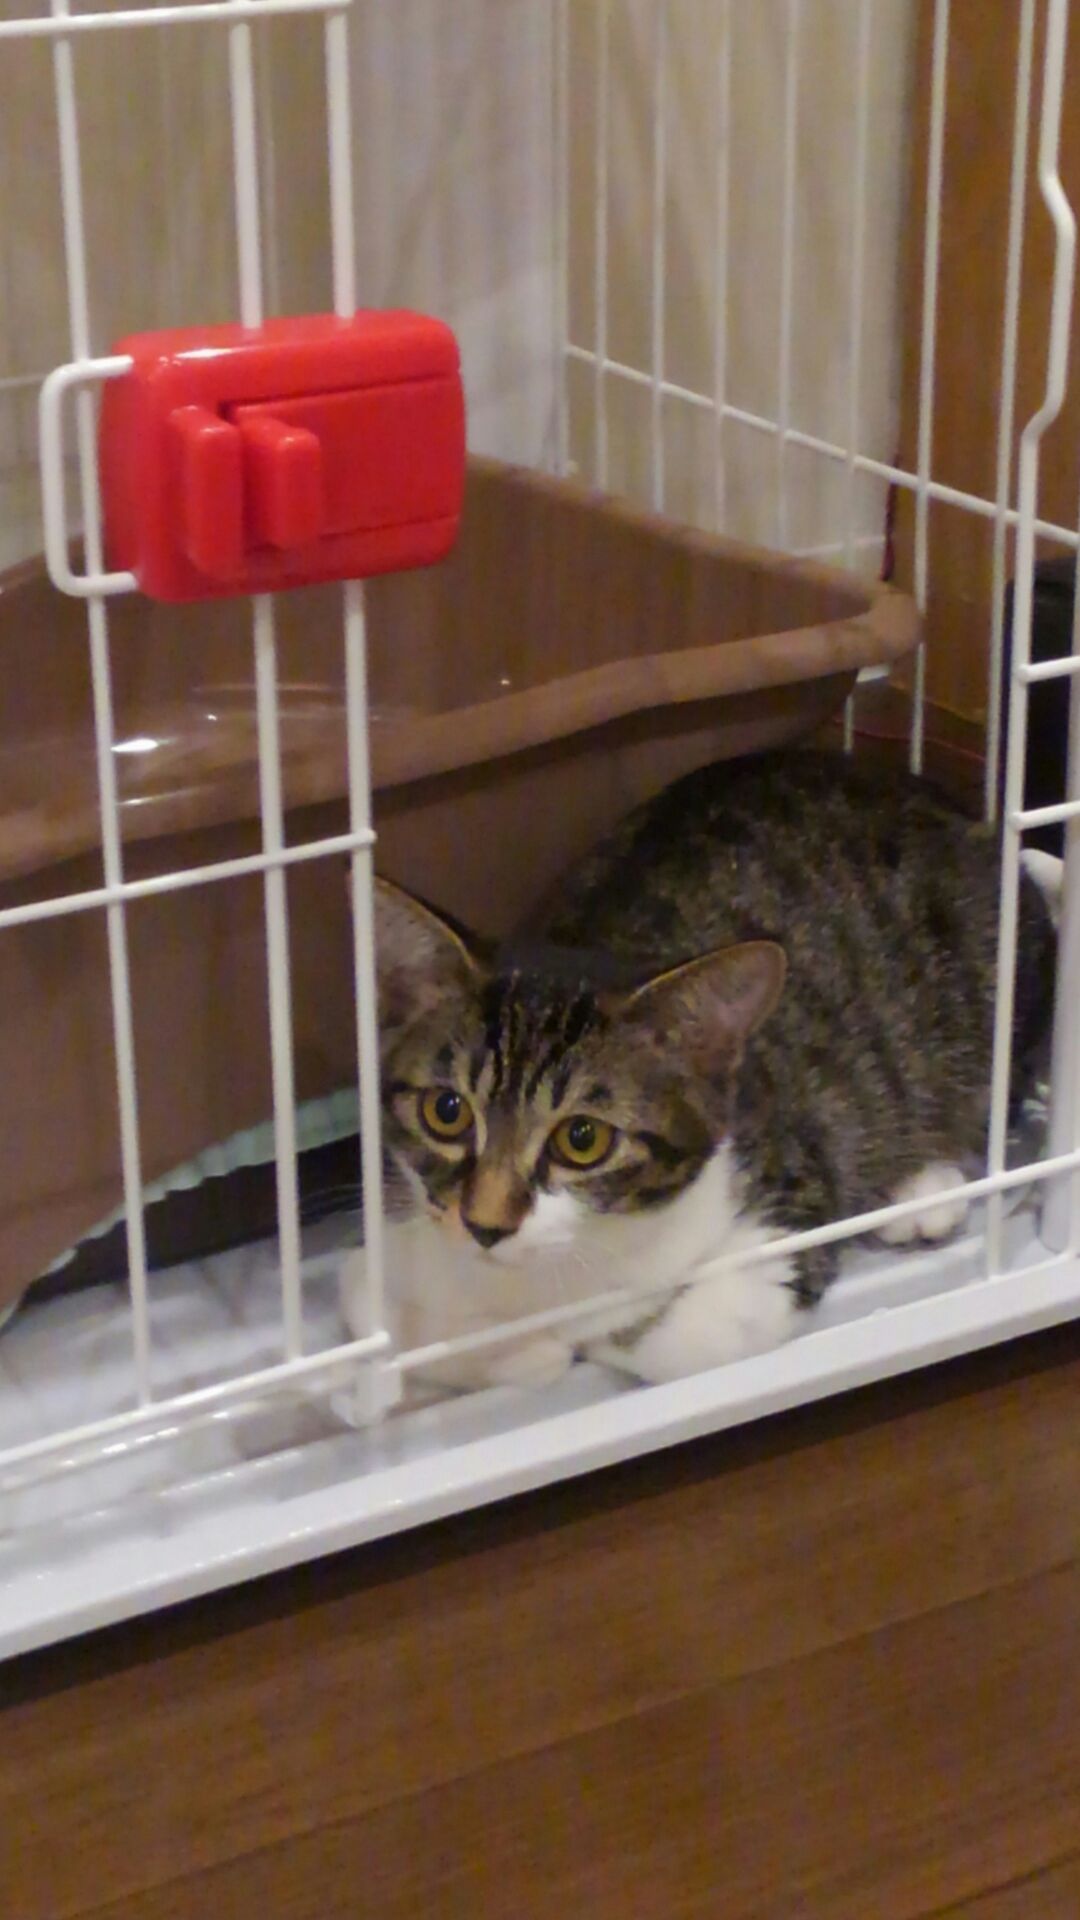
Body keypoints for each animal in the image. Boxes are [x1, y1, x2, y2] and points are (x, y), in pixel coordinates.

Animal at [340, 751, 1059, 1393]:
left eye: (582, 1139)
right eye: (446, 1111)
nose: (485, 1223)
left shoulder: (786, 1202)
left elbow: (676, 1335)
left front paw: (574, 1339)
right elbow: (377, 1313)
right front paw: (504, 1347)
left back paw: (923, 1183)